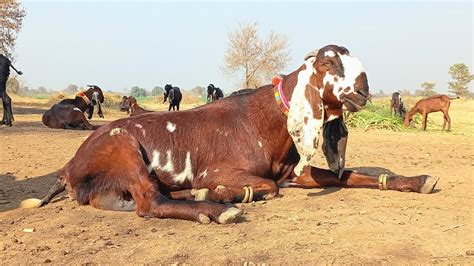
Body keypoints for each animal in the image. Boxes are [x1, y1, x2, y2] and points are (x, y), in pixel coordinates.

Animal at [21, 44, 436, 223]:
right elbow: (266, 186)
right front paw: (235, 194)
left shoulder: (295, 173)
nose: (364, 88)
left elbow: (352, 174)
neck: (263, 120)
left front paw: (414, 180)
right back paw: (218, 208)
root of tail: (68, 166)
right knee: (149, 203)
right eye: (329, 63)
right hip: (124, 148)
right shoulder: (225, 171)